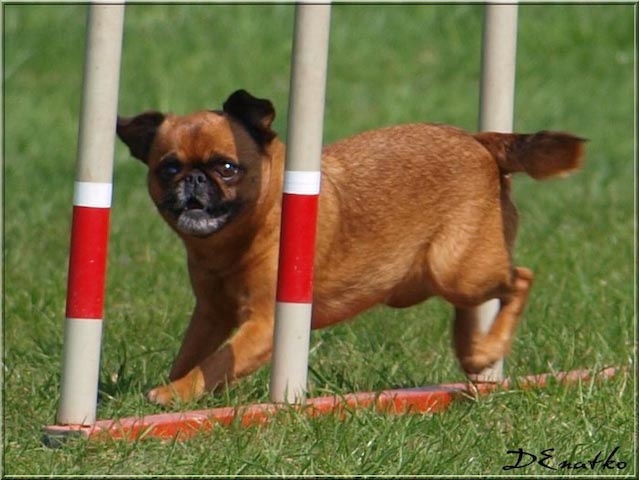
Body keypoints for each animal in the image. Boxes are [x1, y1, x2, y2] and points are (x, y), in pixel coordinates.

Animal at [117, 90, 588, 404]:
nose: (194, 179)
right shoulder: (211, 315)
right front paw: (171, 388)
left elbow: (213, 364)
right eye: (168, 169)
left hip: (457, 269)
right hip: (443, 274)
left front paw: (175, 393)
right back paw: (472, 353)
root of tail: (480, 141)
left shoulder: (265, 324)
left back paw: (487, 349)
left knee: (520, 278)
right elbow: (190, 355)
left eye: (227, 168)